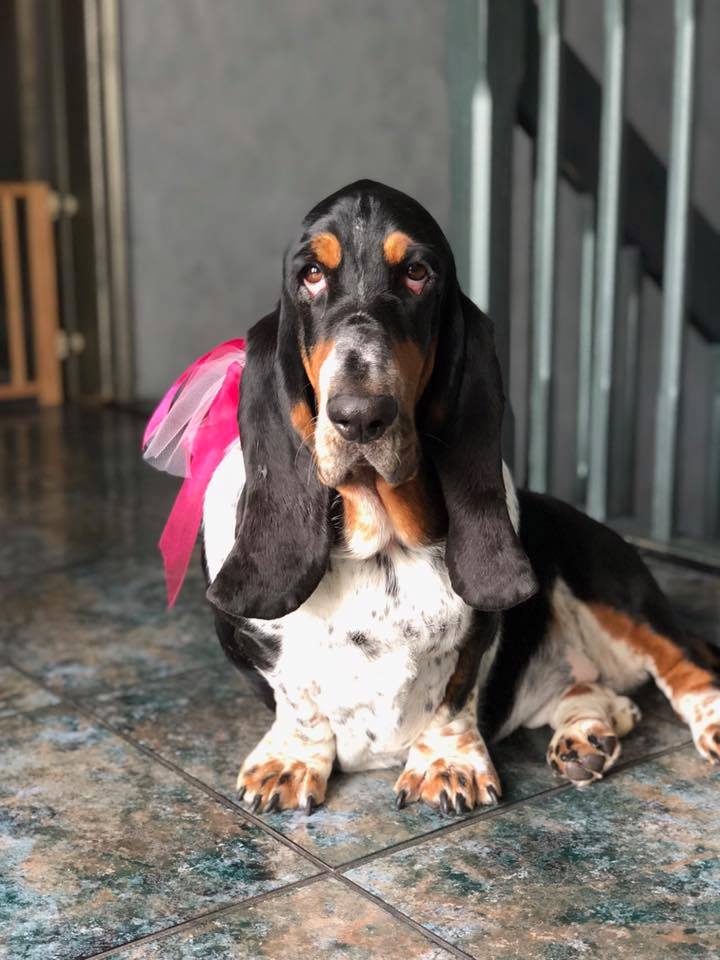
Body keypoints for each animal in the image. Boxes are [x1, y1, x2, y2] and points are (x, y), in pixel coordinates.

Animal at [201, 178, 720, 808]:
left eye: (418, 272)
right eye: (312, 274)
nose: (359, 415)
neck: (381, 545)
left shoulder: (479, 631)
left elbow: (455, 692)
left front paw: (447, 763)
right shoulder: (254, 645)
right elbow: (296, 700)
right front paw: (292, 759)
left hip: (616, 591)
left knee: (687, 664)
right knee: (600, 697)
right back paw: (584, 736)